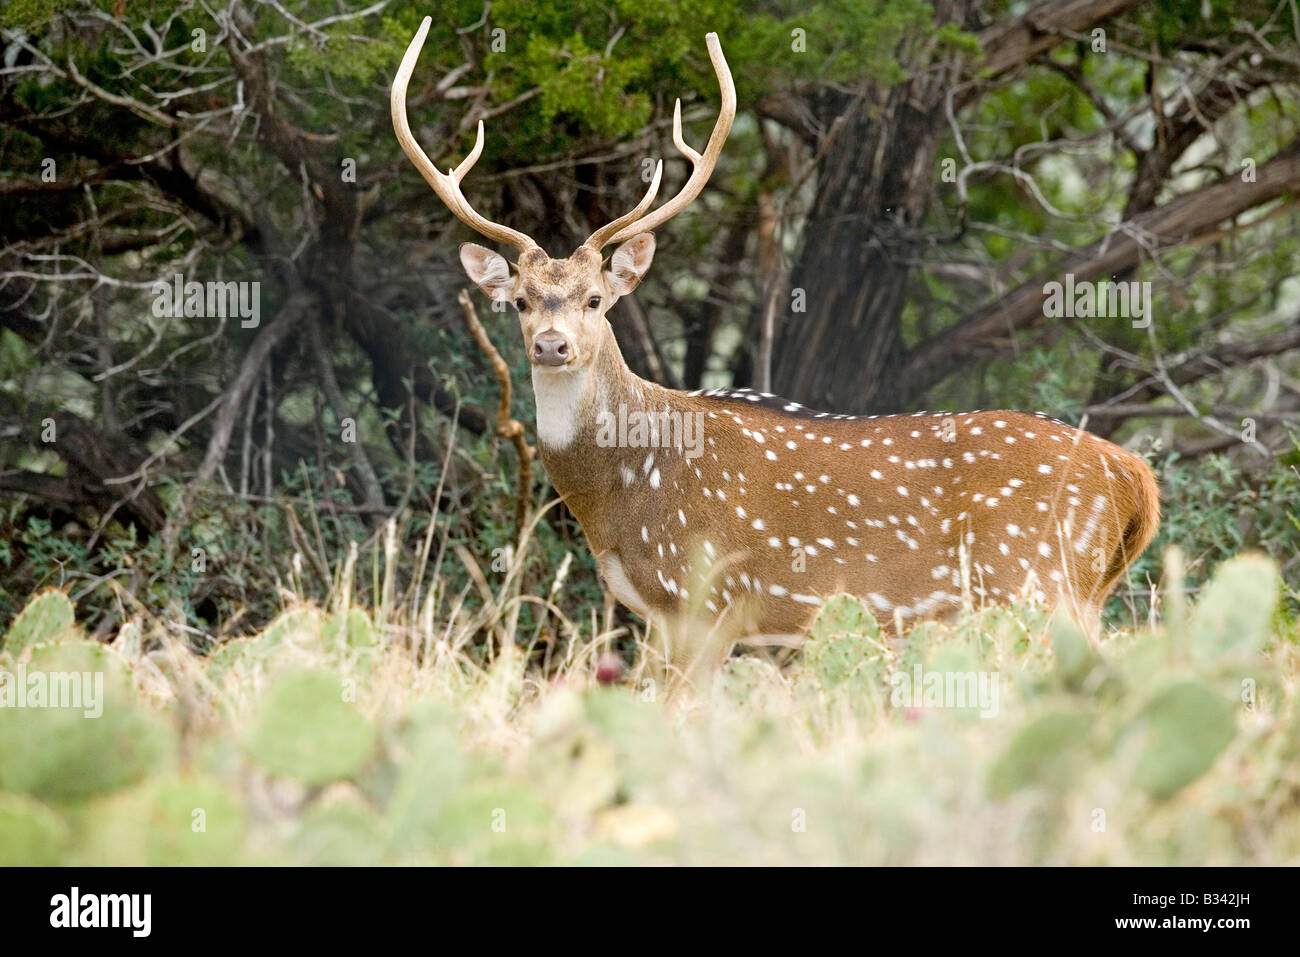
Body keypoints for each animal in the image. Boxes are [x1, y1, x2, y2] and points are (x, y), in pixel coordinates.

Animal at [392, 18, 1161, 684]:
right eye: (520, 301)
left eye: (594, 299)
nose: (552, 345)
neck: (617, 498)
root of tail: (1134, 479)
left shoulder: (701, 597)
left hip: (1037, 580)